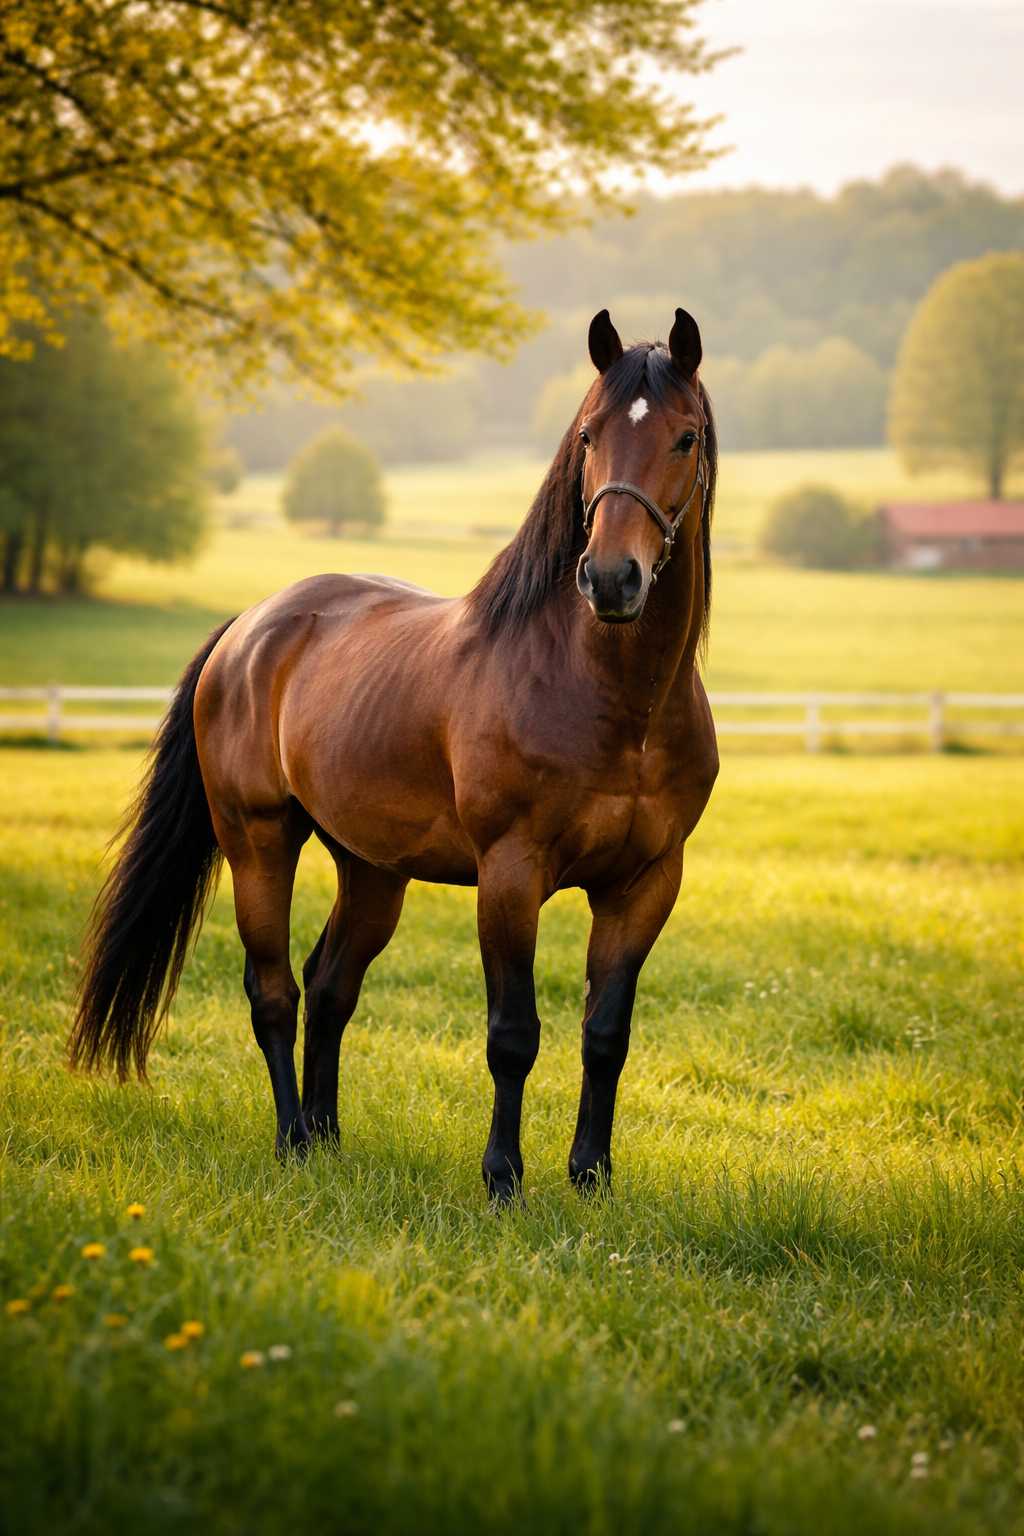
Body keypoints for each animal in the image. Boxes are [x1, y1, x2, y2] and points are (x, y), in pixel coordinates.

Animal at [69, 307, 719, 1203]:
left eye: (685, 437)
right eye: (589, 435)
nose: (612, 578)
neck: (618, 702)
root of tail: (251, 626)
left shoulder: (647, 883)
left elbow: (605, 1034)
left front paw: (591, 1176)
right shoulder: (511, 874)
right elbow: (513, 1033)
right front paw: (503, 1180)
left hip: (371, 868)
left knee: (330, 986)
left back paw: (327, 1136)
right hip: (258, 840)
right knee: (273, 991)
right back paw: (292, 1141)